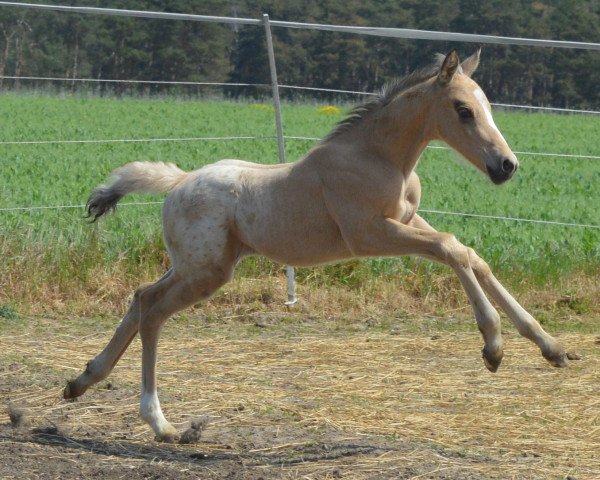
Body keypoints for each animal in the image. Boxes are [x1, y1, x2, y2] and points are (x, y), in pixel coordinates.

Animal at [63, 51, 568, 442]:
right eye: (463, 109)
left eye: (487, 105)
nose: (506, 165)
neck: (378, 157)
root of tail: (180, 181)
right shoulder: (369, 234)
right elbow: (452, 248)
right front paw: (493, 345)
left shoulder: (406, 221)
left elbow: (472, 256)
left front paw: (551, 346)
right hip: (205, 272)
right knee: (152, 310)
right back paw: (162, 424)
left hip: (193, 265)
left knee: (140, 297)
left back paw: (82, 380)